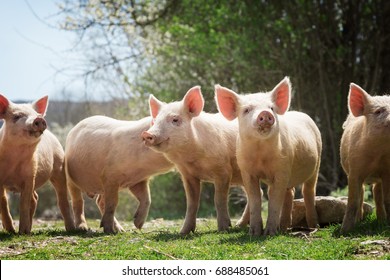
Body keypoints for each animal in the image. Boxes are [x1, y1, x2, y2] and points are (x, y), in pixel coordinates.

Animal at [0, 94, 74, 234]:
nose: (39, 119)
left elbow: (24, 203)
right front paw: (11, 231)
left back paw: (72, 229)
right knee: (35, 198)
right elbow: (3, 202)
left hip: (59, 166)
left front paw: (21, 232)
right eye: (16, 116)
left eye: (36, 114)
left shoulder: (30, 175)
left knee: (62, 200)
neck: (15, 161)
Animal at [141, 86, 250, 235]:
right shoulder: (188, 175)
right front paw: (183, 232)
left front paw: (223, 229)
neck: (192, 159)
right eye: (155, 121)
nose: (147, 134)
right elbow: (192, 203)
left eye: (175, 119)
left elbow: (219, 199)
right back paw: (240, 225)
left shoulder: (223, 170)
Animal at [215, 77, 322, 236]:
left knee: (308, 191)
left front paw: (269, 233)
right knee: (290, 192)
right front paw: (254, 233)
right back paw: (283, 228)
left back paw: (314, 227)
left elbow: (275, 201)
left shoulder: (283, 168)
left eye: (271, 108)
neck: (261, 154)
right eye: (246, 110)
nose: (265, 113)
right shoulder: (246, 171)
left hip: (317, 162)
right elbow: (255, 199)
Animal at [340, 84, 390, 233]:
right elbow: (353, 200)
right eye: (378, 111)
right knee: (363, 192)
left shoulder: (387, 170)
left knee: (376, 193)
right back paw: (359, 220)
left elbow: (387, 198)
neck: (377, 154)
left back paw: (382, 221)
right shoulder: (354, 170)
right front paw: (344, 231)